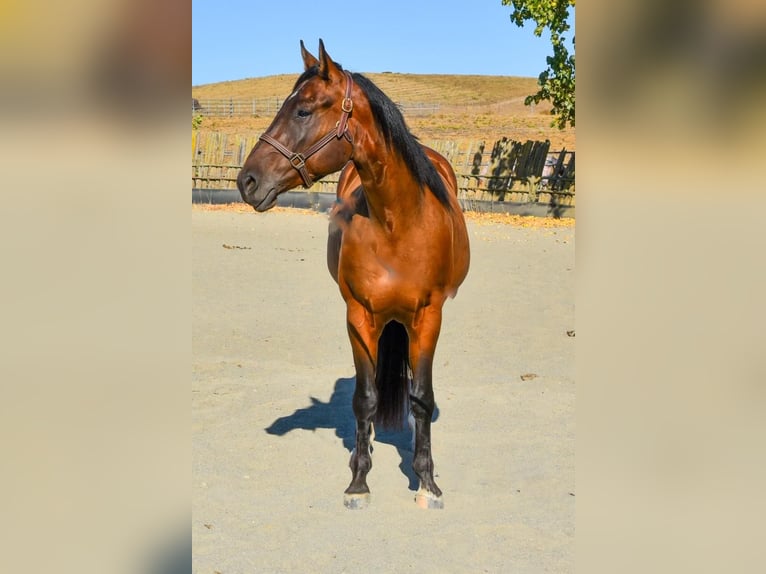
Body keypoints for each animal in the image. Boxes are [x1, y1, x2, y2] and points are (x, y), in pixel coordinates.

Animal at [236, 40, 470, 509]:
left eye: (303, 111)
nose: (247, 181)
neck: (398, 223)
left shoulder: (429, 318)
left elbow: (422, 397)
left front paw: (427, 482)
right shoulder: (358, 315)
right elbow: (365, 399)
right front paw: (359, 481)